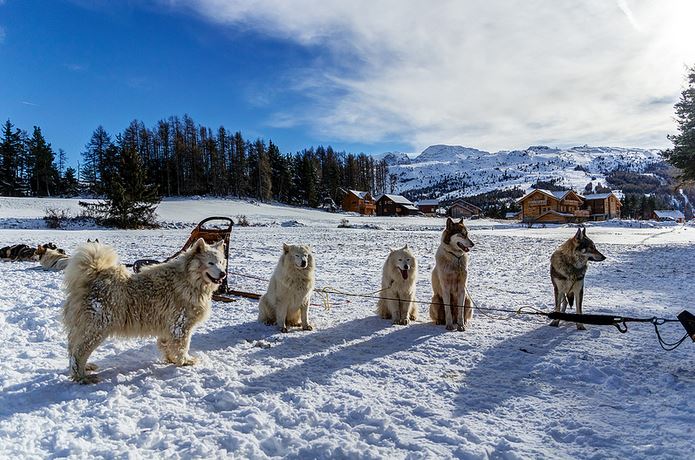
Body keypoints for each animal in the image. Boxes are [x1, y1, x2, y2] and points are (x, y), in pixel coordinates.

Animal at [61, 239, 226, 382]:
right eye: (210, 263)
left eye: (221, 262)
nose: (223, 274)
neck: (189, 280)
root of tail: (92, 277)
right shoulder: (181, 325)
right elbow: (182, 347)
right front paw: (185, 361)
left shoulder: (168, 327)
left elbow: (167, 346)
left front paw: (171, 360)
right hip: (97, 329)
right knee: (78, 354)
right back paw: (82, 377)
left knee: (72, 350)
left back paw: (86, 368)